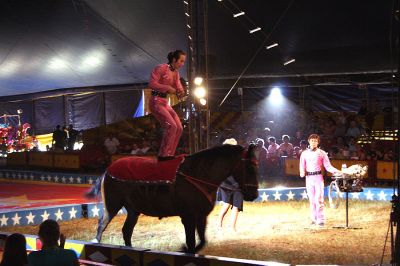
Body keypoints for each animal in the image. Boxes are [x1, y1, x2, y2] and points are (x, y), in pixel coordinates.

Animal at [86, 143, 260, 254]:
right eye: (249, 167)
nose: (254, 195)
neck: (198, 173)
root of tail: (108, 170)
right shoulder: (188, 217)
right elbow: (191, 243)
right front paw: (185, 249)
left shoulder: (201, 216)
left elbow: (201, 241)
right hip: (112, 206)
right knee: (101, 225)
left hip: (133, 210)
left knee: (126, 231)